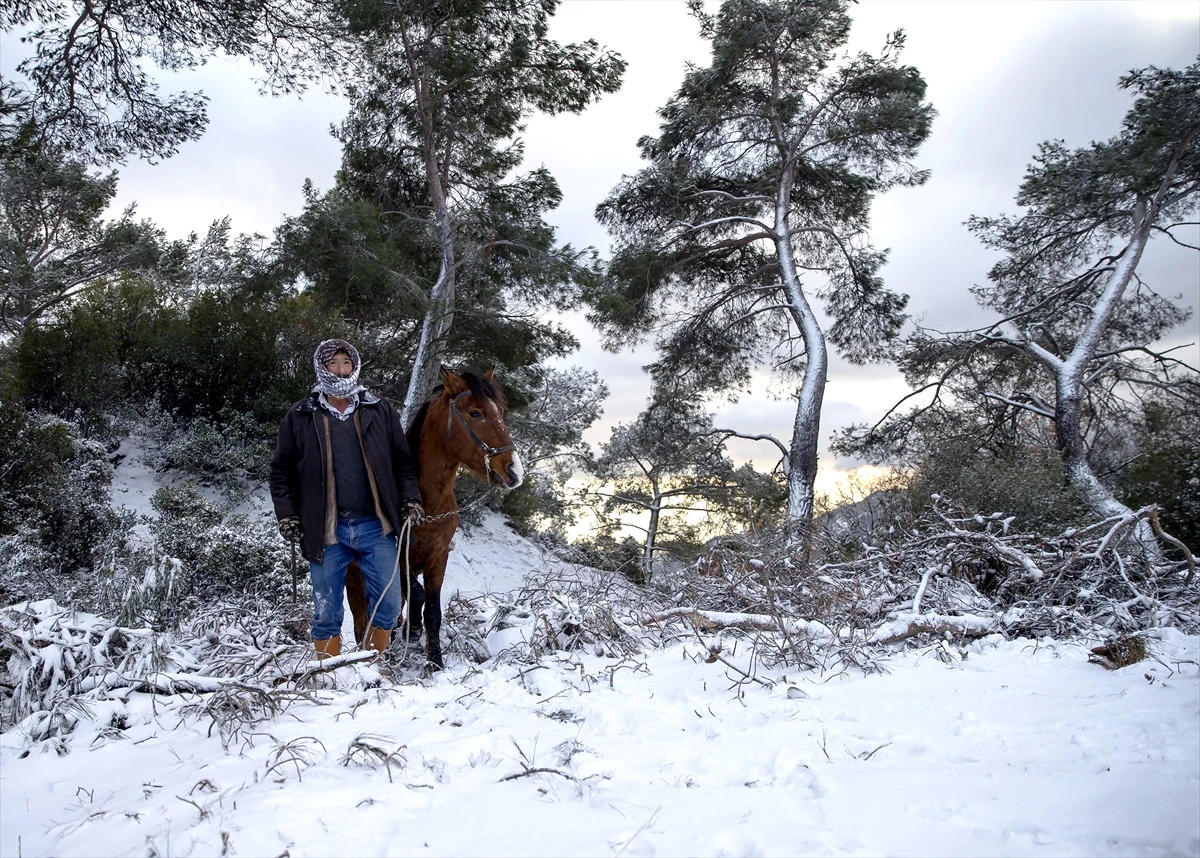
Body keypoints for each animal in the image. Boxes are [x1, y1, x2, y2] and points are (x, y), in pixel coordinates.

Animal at [343, 364, 520, 667]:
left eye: (500, 411)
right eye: (475, 413)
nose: (514, 470)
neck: (426, 505)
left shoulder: (438, 557)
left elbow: (433, 610)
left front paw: (435, 661)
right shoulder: (398, 561)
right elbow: (417, 596)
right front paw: (412, 631)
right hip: (355, 581)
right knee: (363, 621)